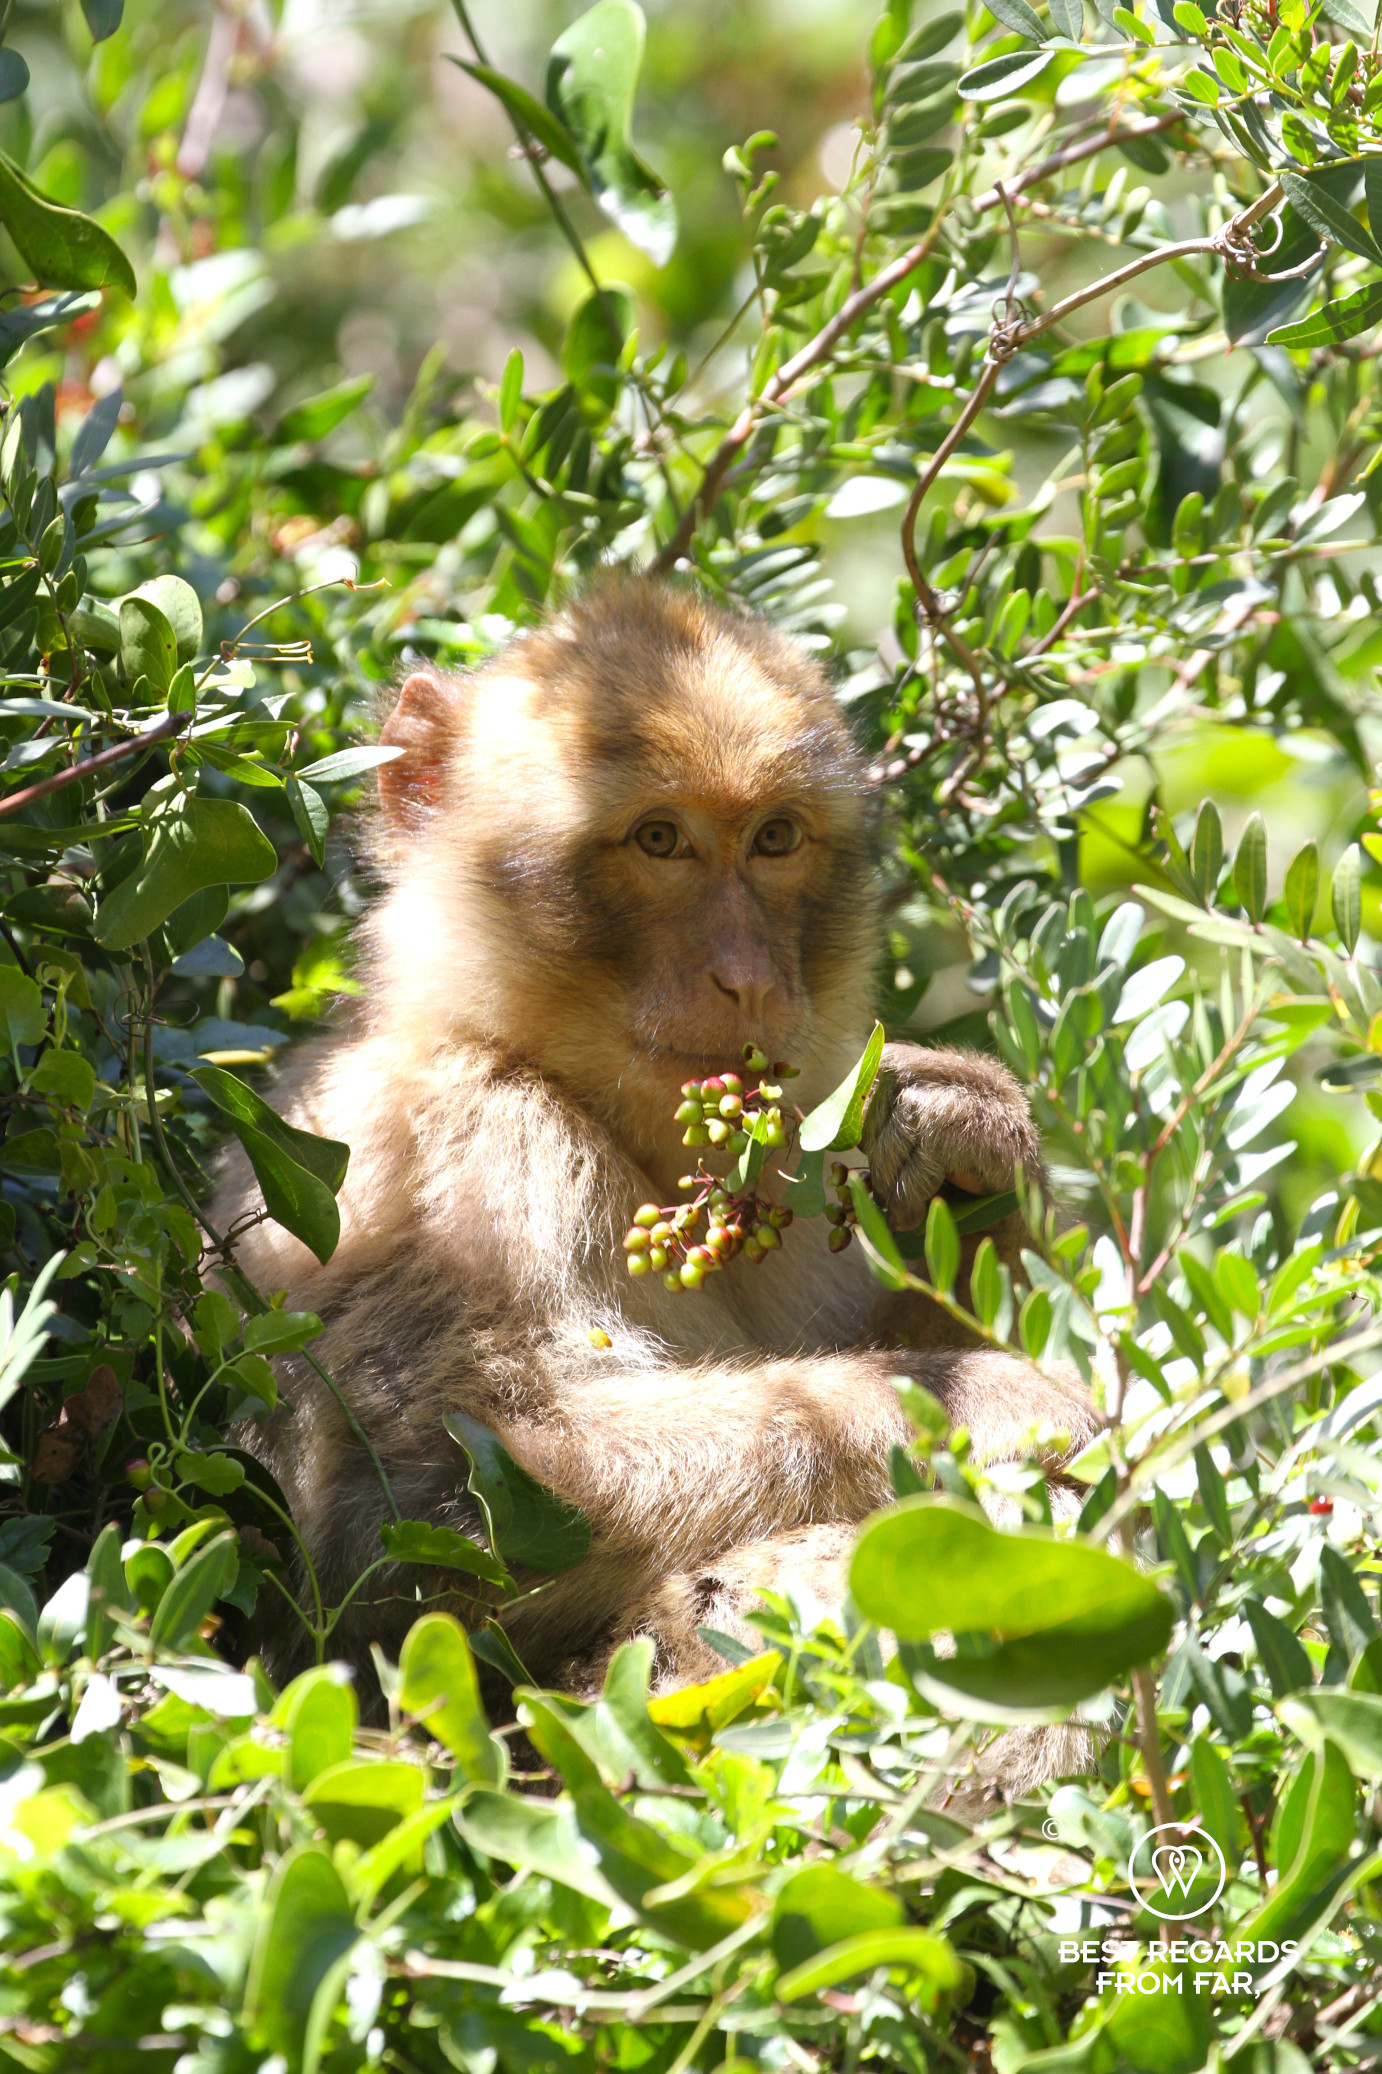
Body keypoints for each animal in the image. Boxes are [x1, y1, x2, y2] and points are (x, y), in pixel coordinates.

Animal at [212, 577, 1098, 1777]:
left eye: (774, 838)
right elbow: (415, 1522)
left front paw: (967, 1140)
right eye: (661, 840)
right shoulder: (459, 1155)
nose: (747, 977)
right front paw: (1003, 1403)